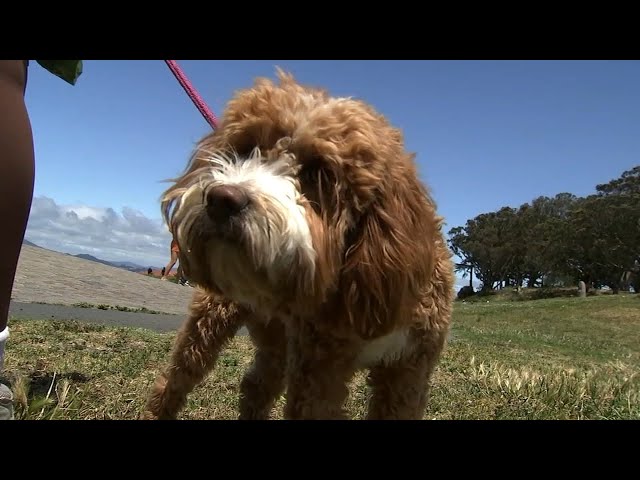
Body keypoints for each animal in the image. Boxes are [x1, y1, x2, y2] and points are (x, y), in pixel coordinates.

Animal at [145, 68, 456, 420]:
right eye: (244, 149)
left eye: (319, 172)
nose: (221, 200)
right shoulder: (318, 367)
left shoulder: (409, 368)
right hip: (211, 319)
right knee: (177, 377)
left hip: (278, 342)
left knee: (257, 384)